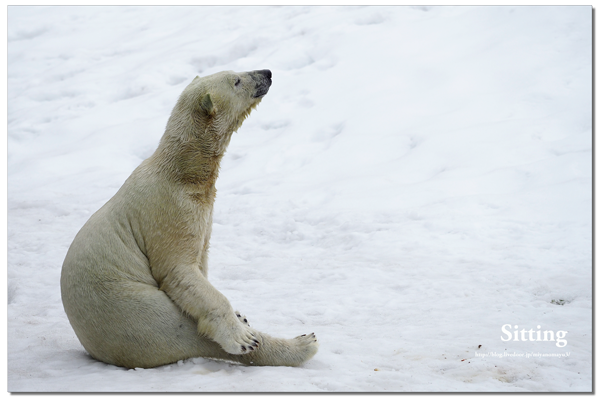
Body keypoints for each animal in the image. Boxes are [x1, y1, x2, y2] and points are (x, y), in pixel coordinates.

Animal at [61, 69, 318, 368]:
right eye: (236, 80)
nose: (267, 73)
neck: (183, 173)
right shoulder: (170, 212)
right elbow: (180, 270)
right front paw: (241, 336)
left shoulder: (203, 210)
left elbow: (201, 260)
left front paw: (239, 316)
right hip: (130, 309)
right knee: (181, 330)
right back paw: (298, 342)